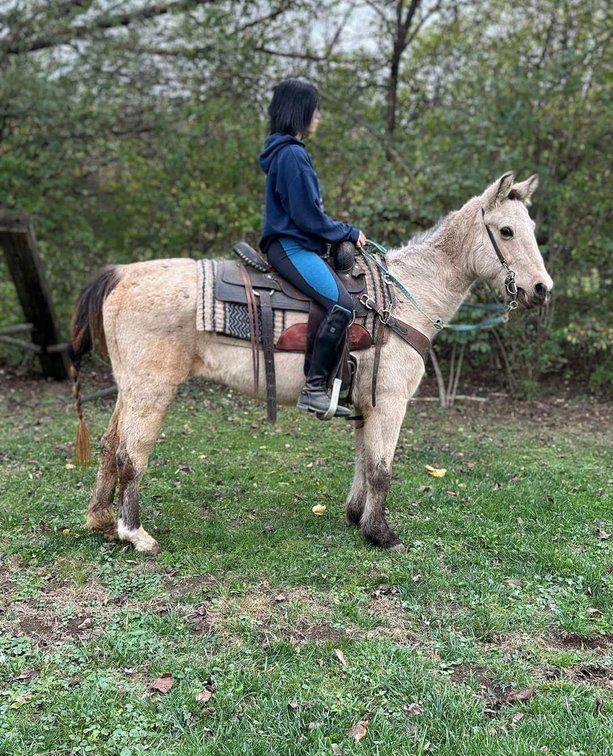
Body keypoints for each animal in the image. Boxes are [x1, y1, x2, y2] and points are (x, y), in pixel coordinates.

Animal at [70, 172, 553, 555]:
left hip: (130, 388)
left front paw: (356, 517)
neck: (401, 298)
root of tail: (122, 274)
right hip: (152, 390)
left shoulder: (366, 403)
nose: (542, 289)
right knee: (132, 453)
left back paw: (100, 521)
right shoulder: (390, 401)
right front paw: (381, 534)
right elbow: (381, 469)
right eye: (506, 231)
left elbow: (363, 461)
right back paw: (135, 533)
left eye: (530, 227)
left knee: (110, 445)